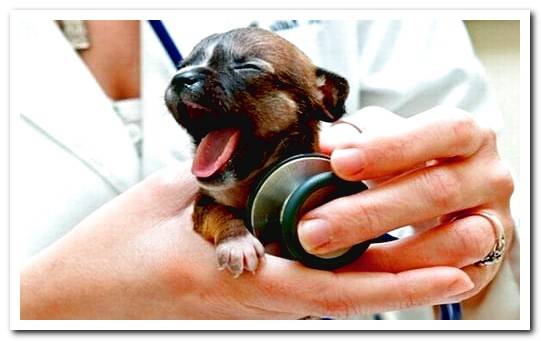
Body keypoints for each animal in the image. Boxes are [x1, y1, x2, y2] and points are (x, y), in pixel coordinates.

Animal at [162, 27, 348, 276]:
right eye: (181, 66)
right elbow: (220, 211)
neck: (247, 186)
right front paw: (237, 243)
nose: (181, 77)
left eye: (247, 67)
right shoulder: (204, 201)